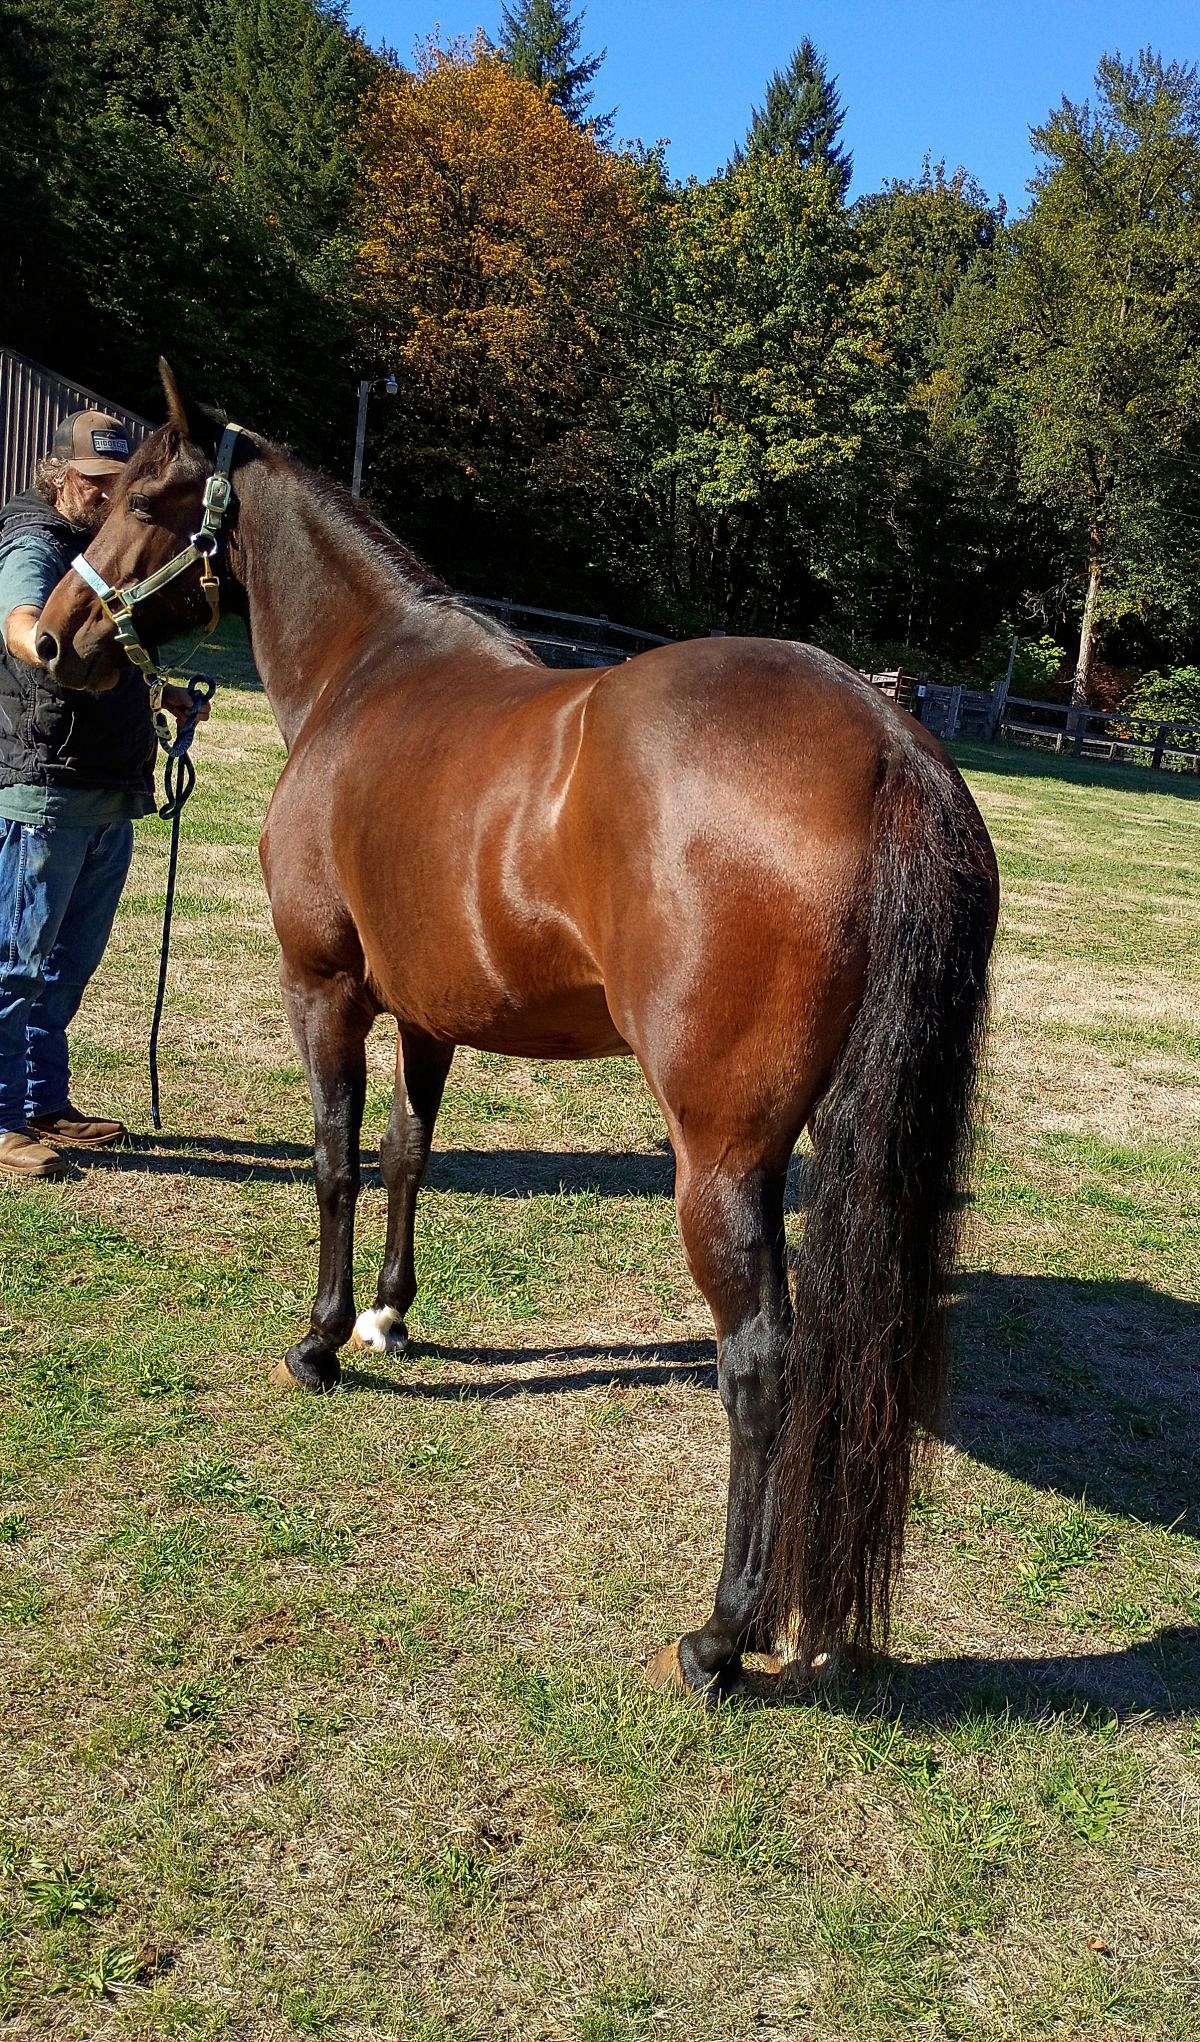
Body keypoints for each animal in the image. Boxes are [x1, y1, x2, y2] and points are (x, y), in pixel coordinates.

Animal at [38, 364, 999, 1701]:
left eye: (138, 498)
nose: (48, 640)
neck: (366, 675)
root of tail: (888, 739)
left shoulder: (324, 989)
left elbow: (335, 1162)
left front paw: (321, 1341)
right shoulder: (431, 1013)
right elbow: (406, 1154)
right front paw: (390, 1316)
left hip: (722, 1156)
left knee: (762, 1362)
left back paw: (719, 1634)